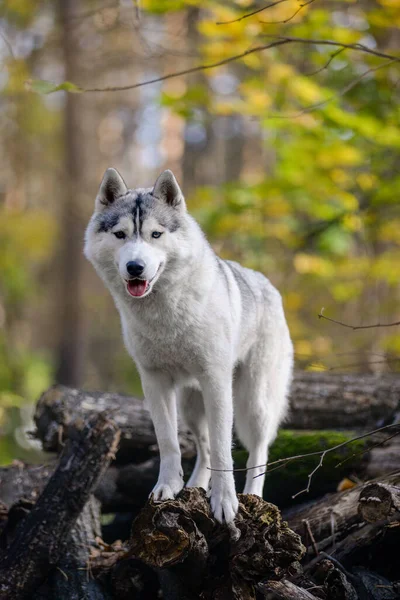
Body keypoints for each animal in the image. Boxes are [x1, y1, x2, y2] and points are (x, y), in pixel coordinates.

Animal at [84, 169, 292, 524]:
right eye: (120, 234)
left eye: (155, 234)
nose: (135, 267)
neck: (164, 314)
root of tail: (269, 285)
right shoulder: (154, 382)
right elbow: (169, 443)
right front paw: (167, 488)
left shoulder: (216, 380)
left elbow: (224, 450)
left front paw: (225, 502)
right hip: (191, 406)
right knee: (204, 447)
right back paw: (195, 487)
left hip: (252, 403)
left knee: (257, 452)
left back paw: (252, 496)